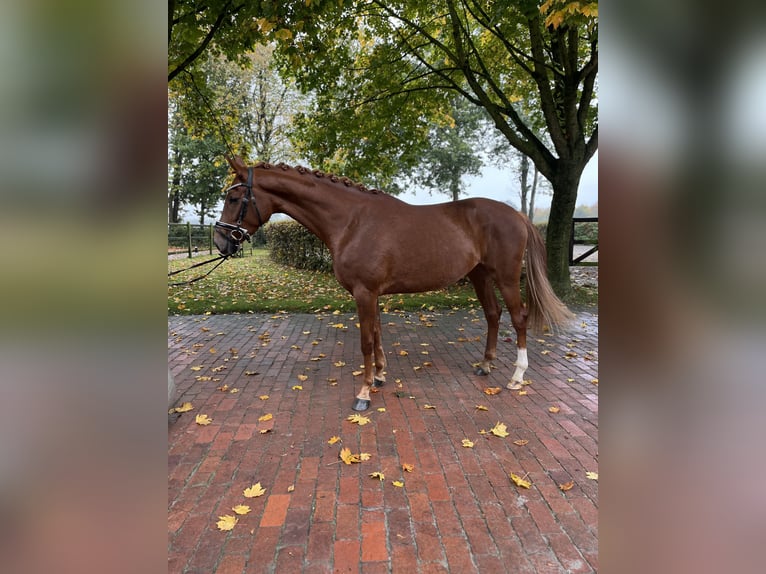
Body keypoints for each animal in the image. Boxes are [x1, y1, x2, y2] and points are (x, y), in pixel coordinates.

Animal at [213, 155, 572, 412]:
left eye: (233, 198)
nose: (220, 242)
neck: (351, 222)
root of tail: (517, 215)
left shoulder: (364, 293)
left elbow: (365, 342)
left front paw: (363, 393)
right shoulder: (372, 294)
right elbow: (377, 335)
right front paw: (380, 377)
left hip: (506, 277)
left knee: (518, 318)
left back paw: (517, 376)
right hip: (479, 275)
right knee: (493, 315)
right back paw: (485, 365)